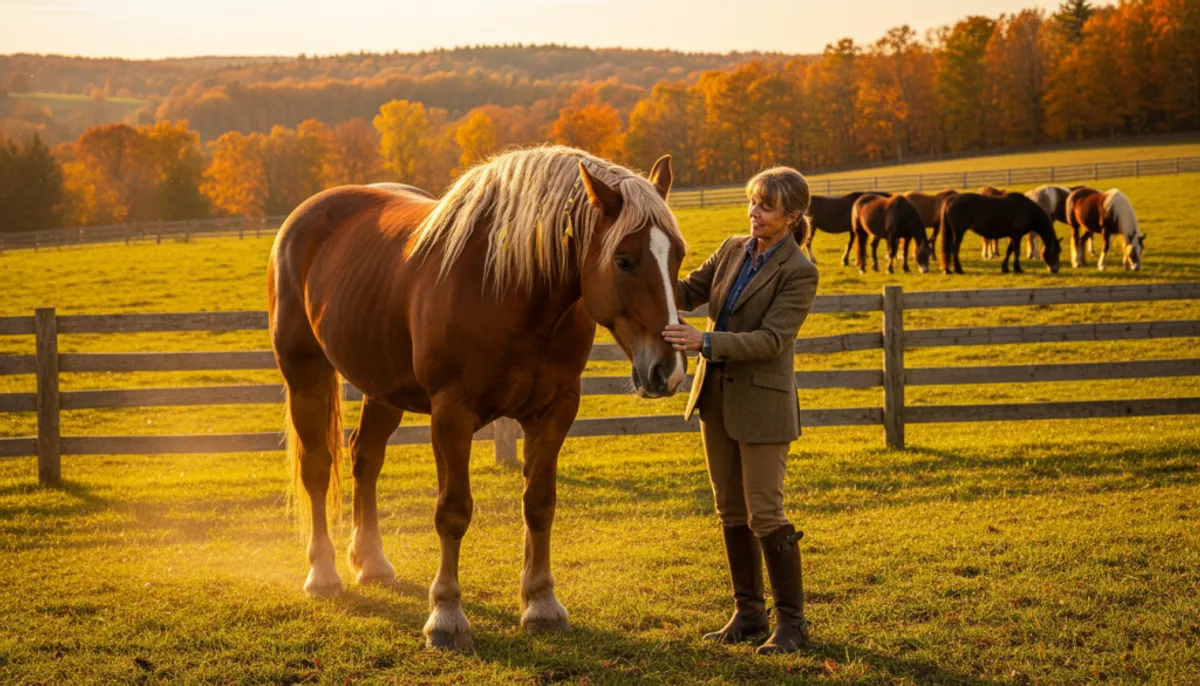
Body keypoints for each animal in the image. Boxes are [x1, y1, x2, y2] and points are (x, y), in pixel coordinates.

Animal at [268, 146, 686, 650]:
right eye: (624, 260)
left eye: (678, 255)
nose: (667, 369)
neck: (510, 288)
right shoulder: (452, 414)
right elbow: (453, 512)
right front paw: (446, 616)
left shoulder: (555, 412)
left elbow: (539, 504)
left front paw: (542, 604)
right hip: (305, 374)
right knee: (316, 467)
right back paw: (323, 574)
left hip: (382, 389)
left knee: (365, 459)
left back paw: (372, 562)